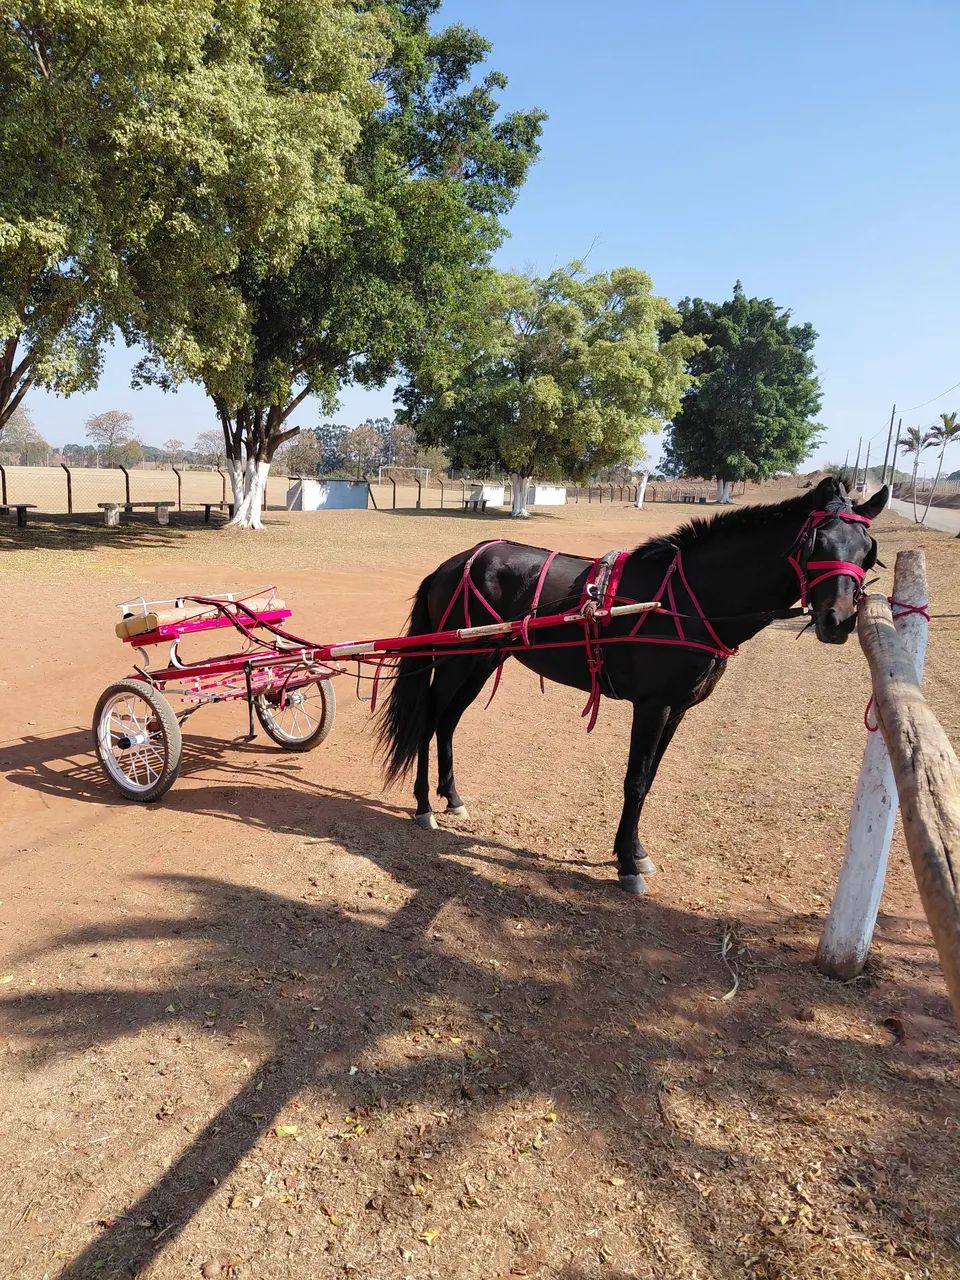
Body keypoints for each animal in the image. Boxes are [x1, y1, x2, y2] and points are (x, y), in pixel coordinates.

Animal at [377, 475, 888, 894]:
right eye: (816, 544)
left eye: (867, 550)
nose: (838, 620)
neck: (684, 598)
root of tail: (456, 562)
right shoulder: (653, 704)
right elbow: (636, 780)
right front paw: (626, 863)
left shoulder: (678, 708)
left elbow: (650, 778)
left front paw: (636, 852)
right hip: (458, 661)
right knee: (429, 720)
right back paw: (423, 805)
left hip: (481, 660)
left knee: (447, 722)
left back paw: (451, 797)